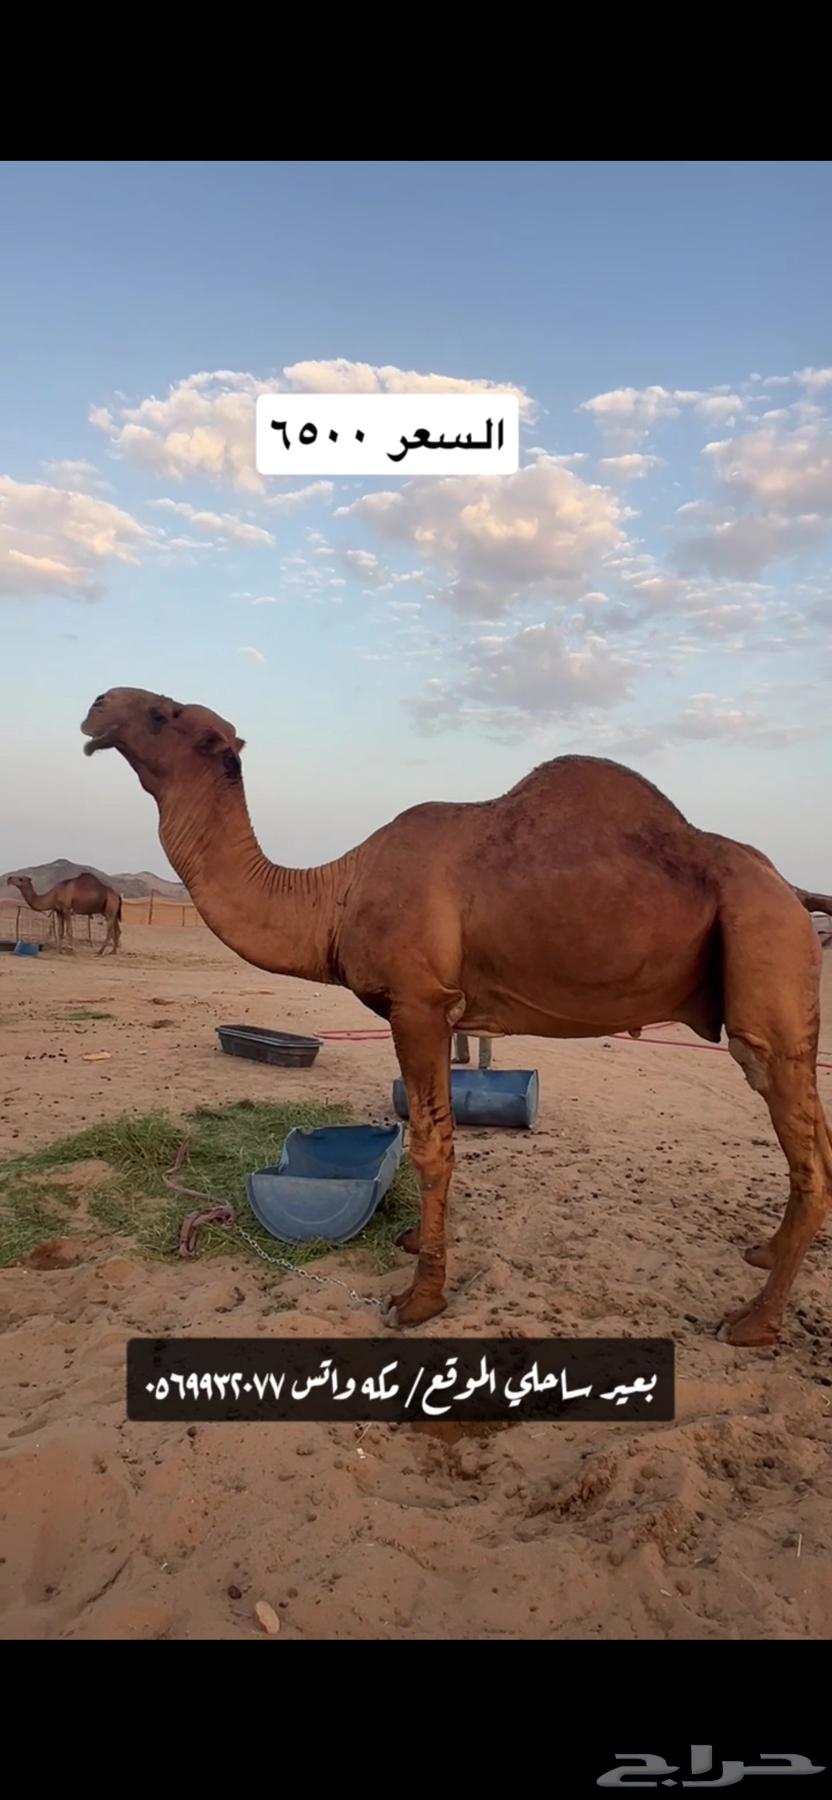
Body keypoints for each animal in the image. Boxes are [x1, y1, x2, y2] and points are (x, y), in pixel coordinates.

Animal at [80, 686, 832, 1349]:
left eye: (164, 713)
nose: (97, 705)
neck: (334, 895)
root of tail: (793, 890)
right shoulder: (439, 1011)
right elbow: (434, 1128)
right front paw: (418, 1241)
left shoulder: (417, 1004)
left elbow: (430, 1144)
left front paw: (417, 1298)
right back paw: (764, 1254)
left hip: (766, 956)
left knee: (806, 1142)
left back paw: (753, 1322)